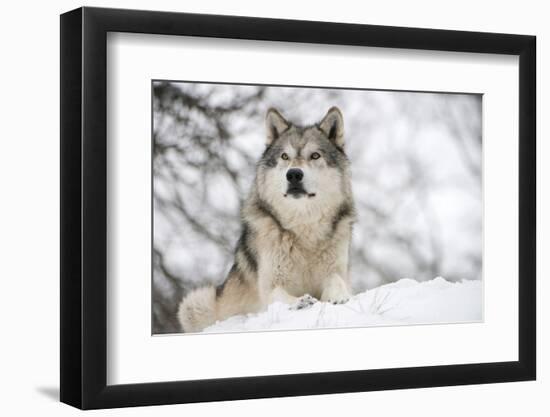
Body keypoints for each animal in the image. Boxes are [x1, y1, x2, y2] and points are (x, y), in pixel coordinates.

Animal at [178, 106, 358, 332]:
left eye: (315, 155)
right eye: (285, 156)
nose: (294, 174)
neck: (303, 229)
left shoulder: (336, 271)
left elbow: (337, 281)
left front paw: (339, 297)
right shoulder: (270, 284)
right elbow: (279, 295)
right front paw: (301, 302)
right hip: (195, 302)